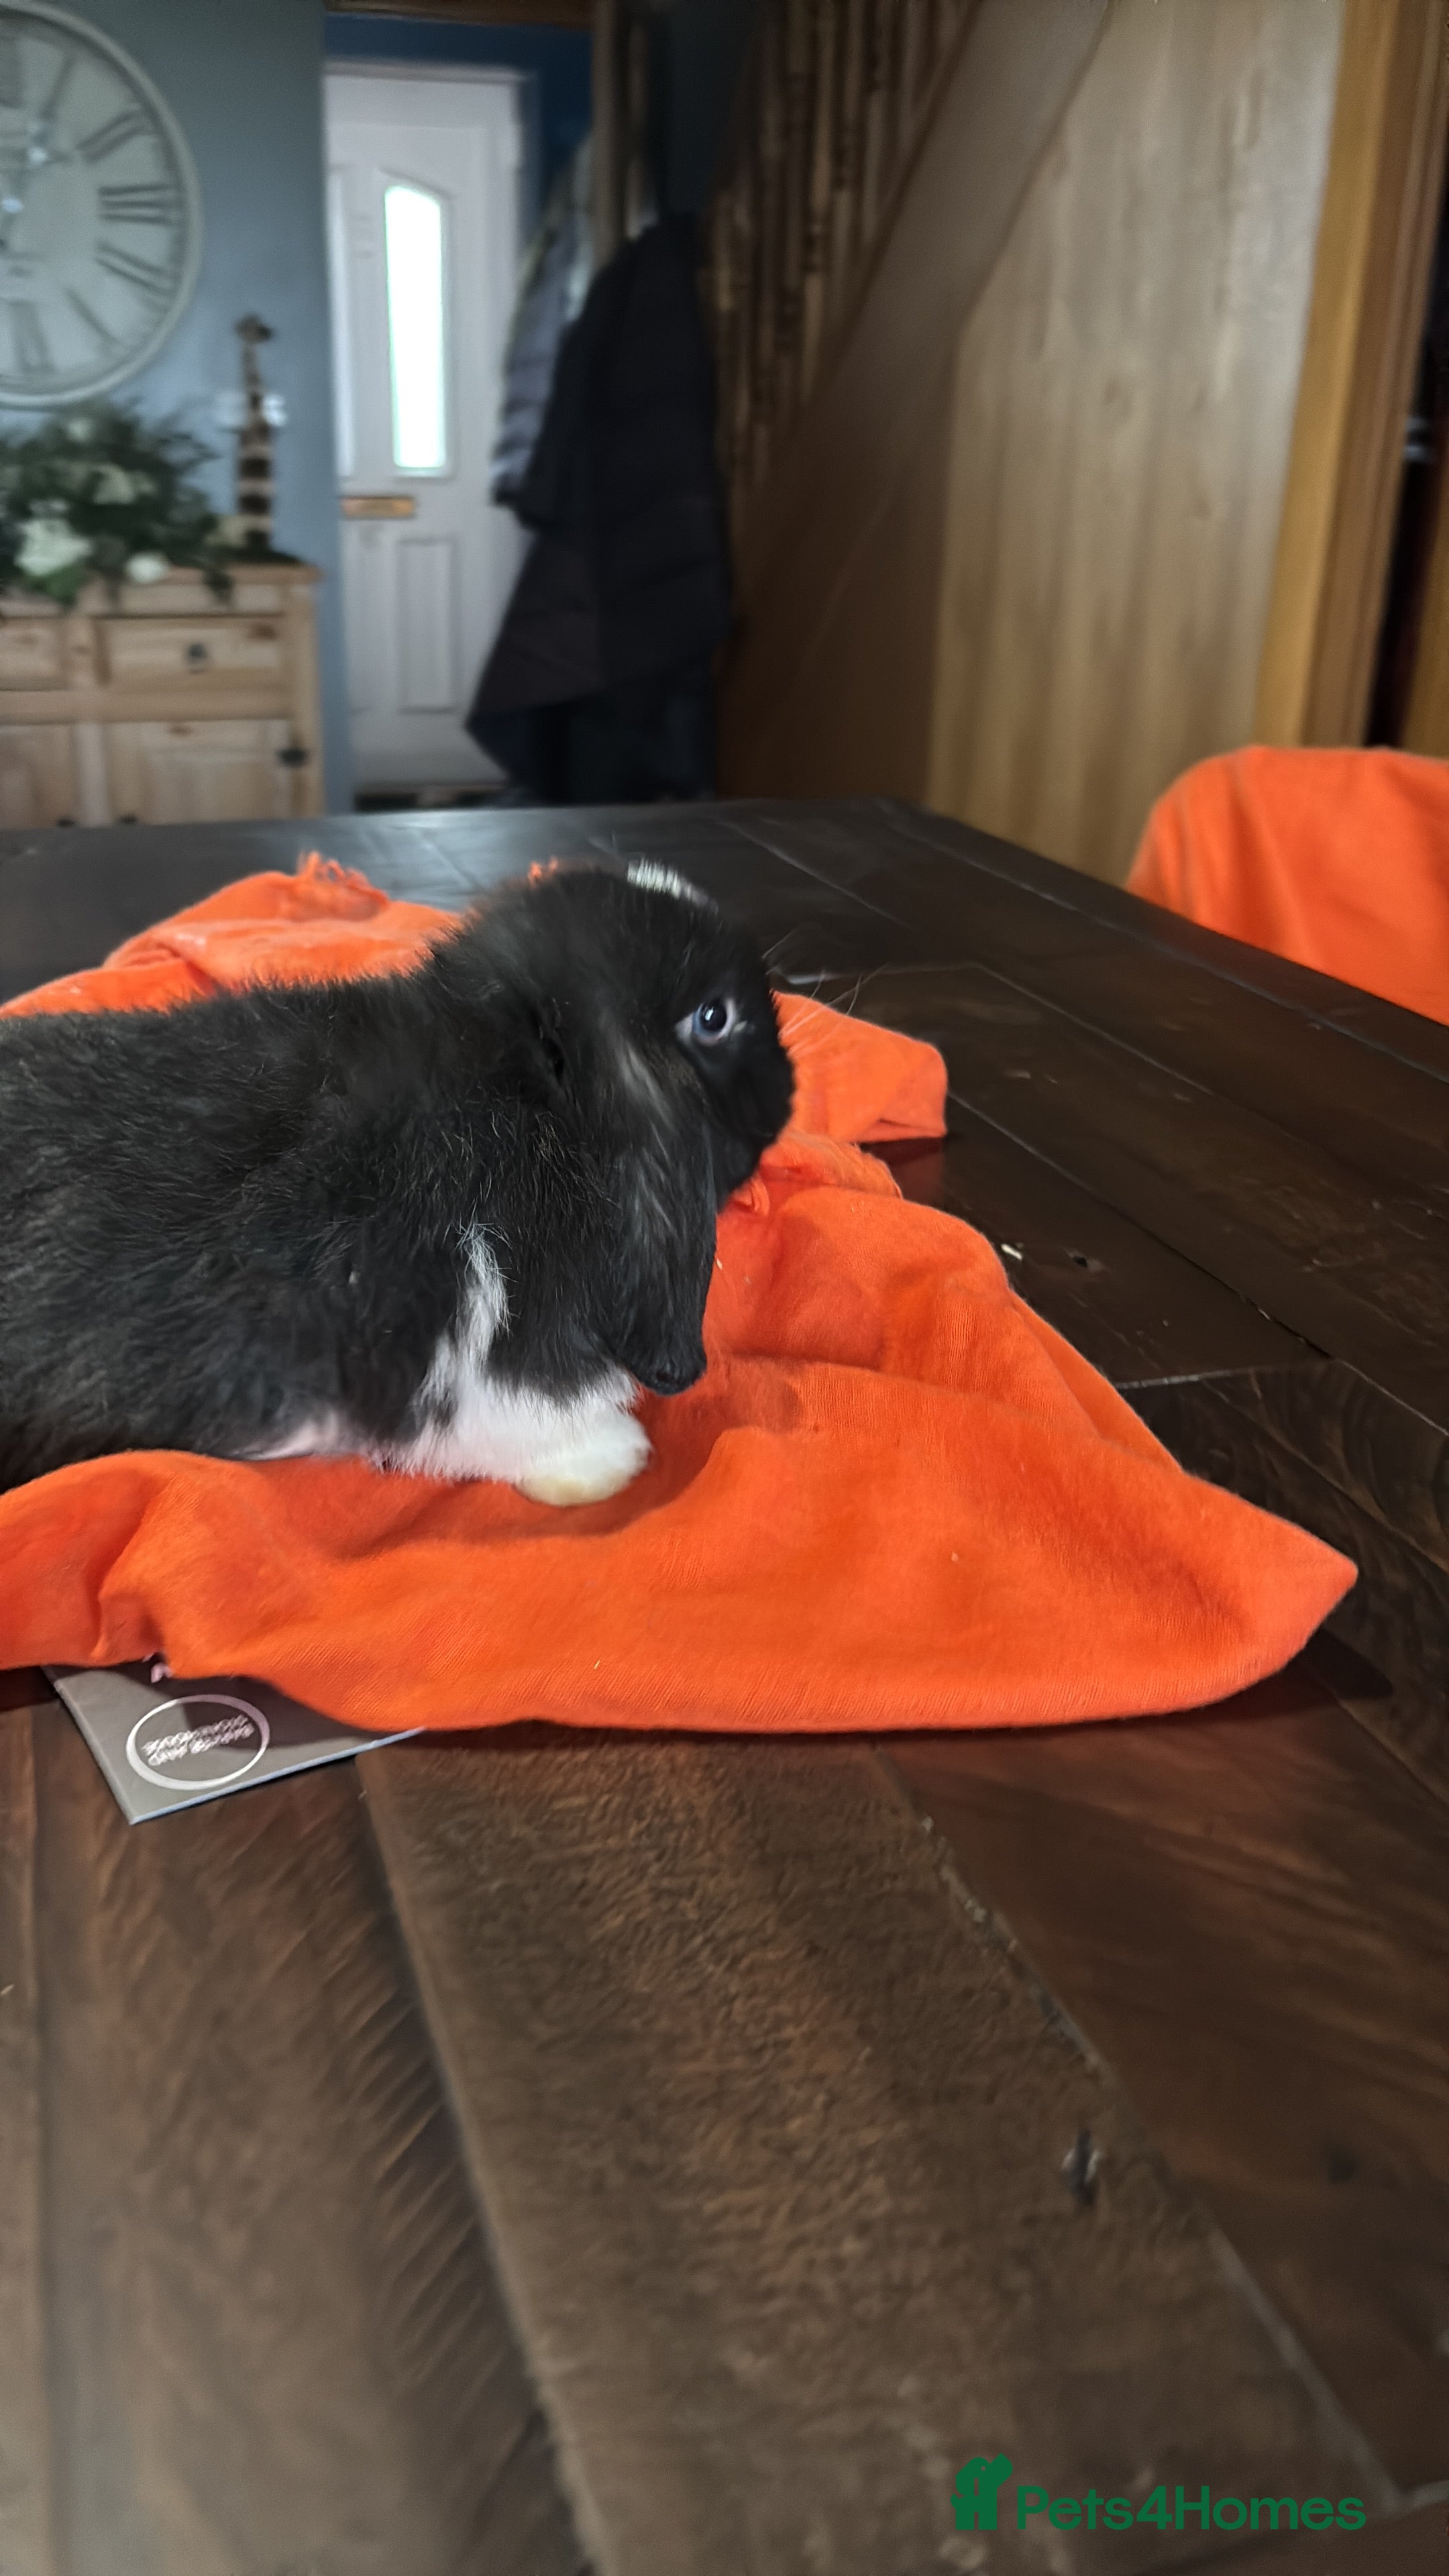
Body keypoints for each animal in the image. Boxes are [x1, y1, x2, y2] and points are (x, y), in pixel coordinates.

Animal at [0, 860, 795, 1505]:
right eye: (716, 1017)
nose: (790, 1090)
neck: (529, 1090)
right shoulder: (458, 1336)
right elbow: (515, 1411)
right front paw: (610, 1458)